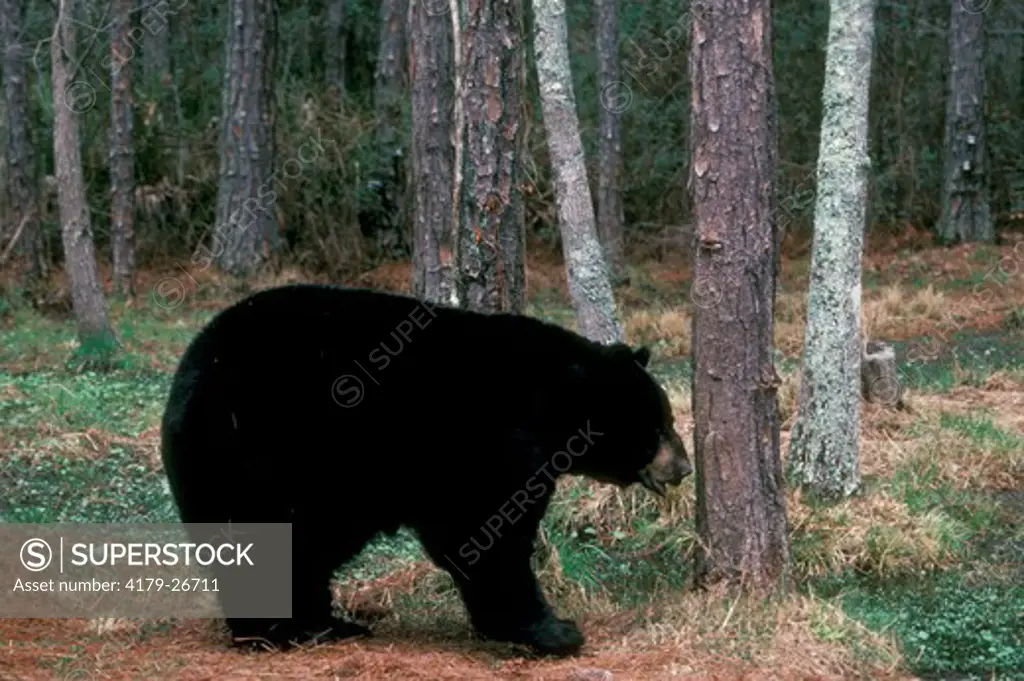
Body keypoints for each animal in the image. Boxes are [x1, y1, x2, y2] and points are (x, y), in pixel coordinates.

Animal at [159, 282, 692, 655]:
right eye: (660, 425)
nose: (685, 467)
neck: (550, 404)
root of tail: (188, 369)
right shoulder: (489, 439)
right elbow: (485, 531)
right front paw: (553, 631)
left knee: (308, 550)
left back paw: (327, 623)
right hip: (260, 455)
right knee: (266, 540)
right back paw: (279, 630)